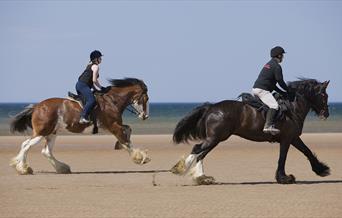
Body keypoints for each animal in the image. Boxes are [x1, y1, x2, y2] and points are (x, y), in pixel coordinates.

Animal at [9, 77, 150, 175]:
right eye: (146, 98)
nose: (145, 116)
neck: (112, 101)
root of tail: (37, 106)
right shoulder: (113, 126)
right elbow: (126, 141)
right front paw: (140, 158)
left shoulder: (113, 125)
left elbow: (128, 129)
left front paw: (119, 145)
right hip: (42, 132)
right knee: (26, 145)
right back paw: (23, 169)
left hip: (52, 133)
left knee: (45, 151)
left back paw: (62, 168)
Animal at [172, 79, 330, 185]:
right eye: (324, 95)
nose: (326, 114)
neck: (291, 108)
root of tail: (211, 107)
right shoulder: (287, 139)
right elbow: (283, 158)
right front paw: (284, 178)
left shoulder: (293, 138)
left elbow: (307, 151)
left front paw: (321, 169)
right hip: (215, 138)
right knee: (197, 149)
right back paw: (183, 169)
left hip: (215, 139)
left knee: (201, 154)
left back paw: (201, 177)